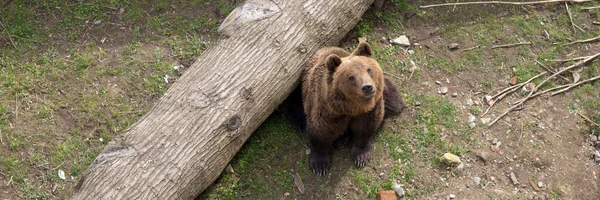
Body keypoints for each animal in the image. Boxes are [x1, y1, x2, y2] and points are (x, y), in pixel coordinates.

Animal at [300, 41, 408, 175]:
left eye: (368, 69)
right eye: (351, 77)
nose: (367, 87)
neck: (351, 108)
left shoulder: (369, 111)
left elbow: (365, 129)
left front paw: (361, 156)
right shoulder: (327, 111)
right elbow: (320, 131)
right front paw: (320, 165)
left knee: (394, 103)